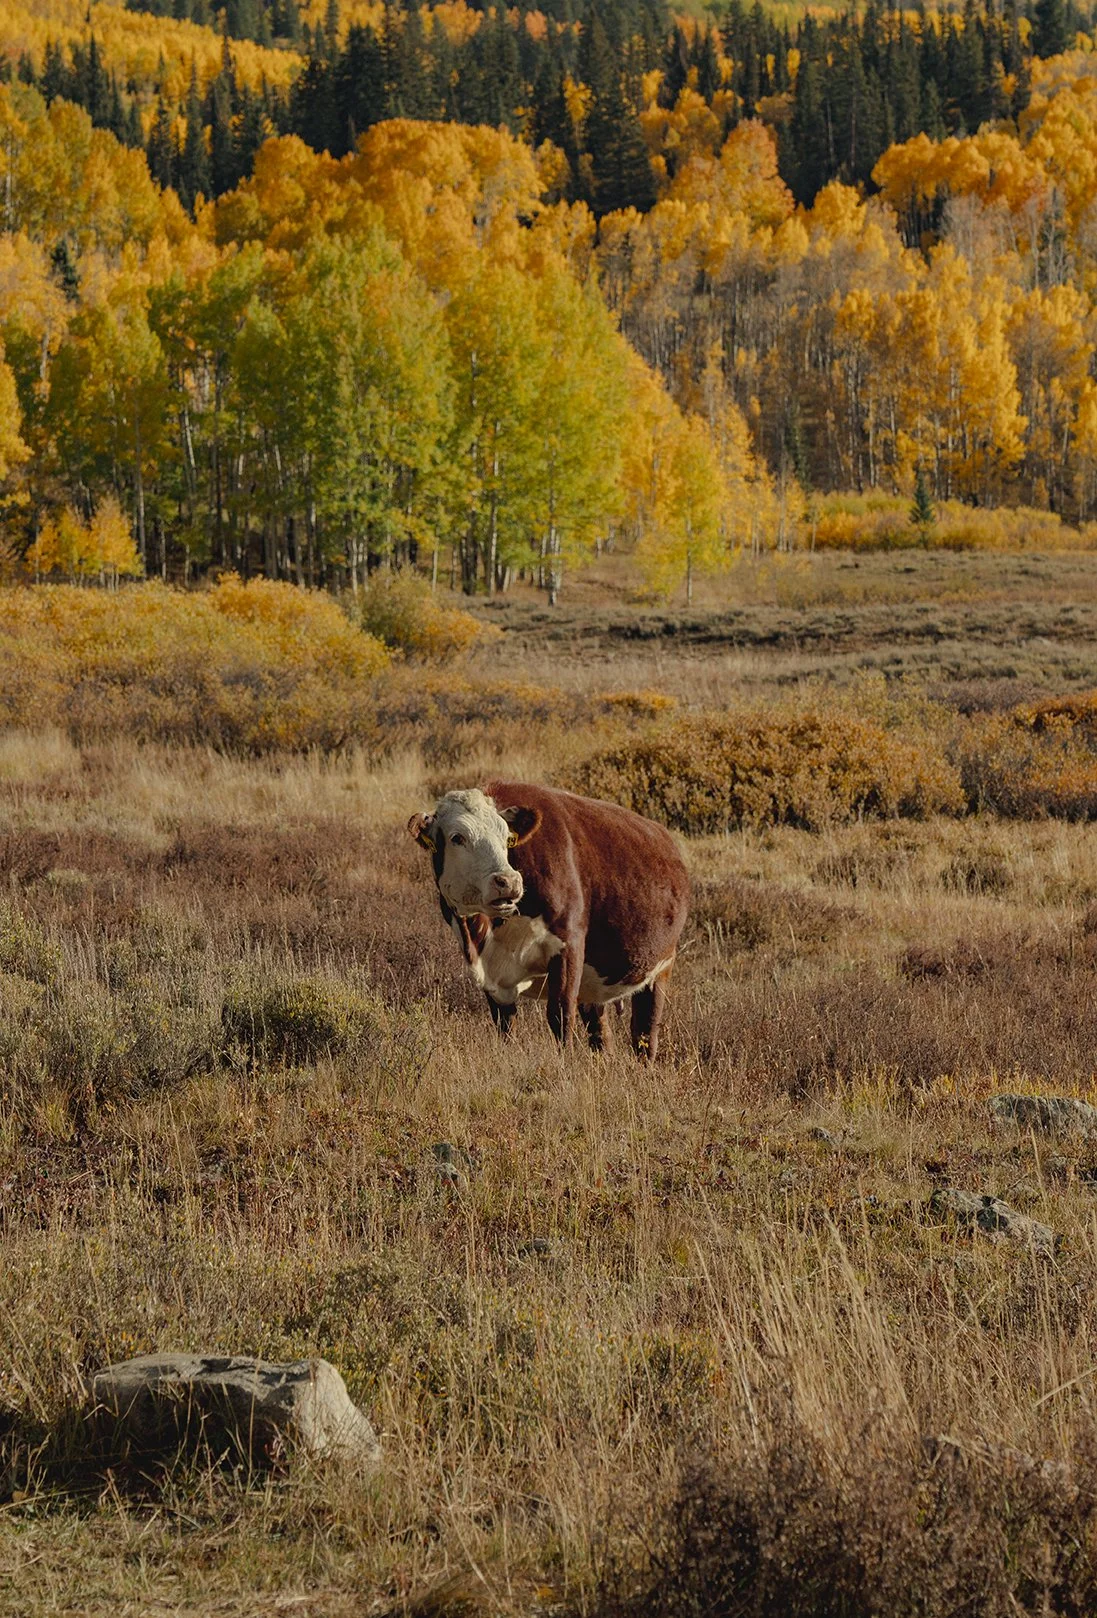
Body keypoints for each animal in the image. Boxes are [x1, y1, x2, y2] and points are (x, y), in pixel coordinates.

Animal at [407, 779, 690, 1059]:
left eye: (506, 838)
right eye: (457, 837)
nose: (508, 881)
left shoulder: (568, 944)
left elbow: (560, 1016)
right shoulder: (491, 974)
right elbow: (505, 1025)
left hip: (660, 968)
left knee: (645, 1032)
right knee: (601, 1032)